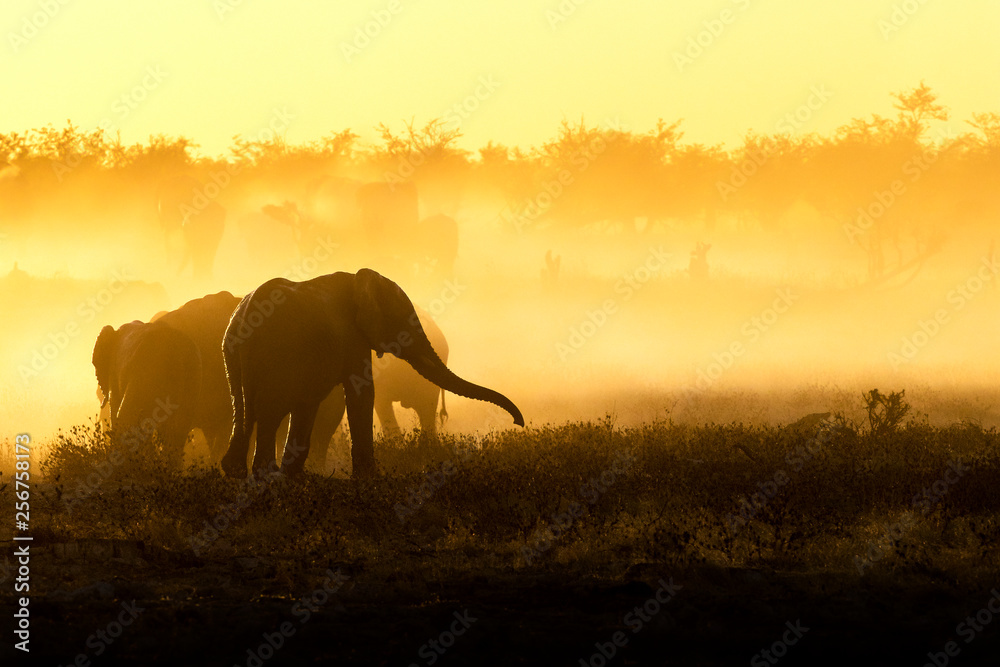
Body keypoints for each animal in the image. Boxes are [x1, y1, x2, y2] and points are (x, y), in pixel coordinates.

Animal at [220, 268, 523, 478]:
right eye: (403, 321)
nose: (518, 422)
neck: (360, 279)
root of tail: (246, 318)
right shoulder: (352, 337)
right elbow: (361, 392)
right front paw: (369, 478)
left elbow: (310, 403)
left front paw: (297, 477)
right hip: (274, 355)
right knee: (269, 411)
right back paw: (264, 475)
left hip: (232, 356)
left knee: (244, 407)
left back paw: (238, 472)